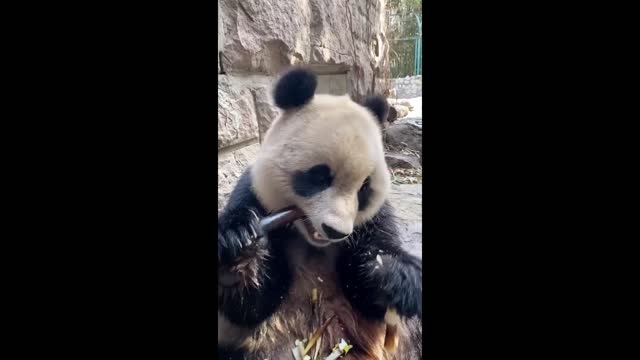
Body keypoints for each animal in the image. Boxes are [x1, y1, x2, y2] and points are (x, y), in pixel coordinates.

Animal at [218, 68, 422, 360]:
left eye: (364, 188)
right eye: (320, 176)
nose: (336, 231)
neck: (311, 240)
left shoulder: (374, 220)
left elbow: (368, 293)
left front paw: (392, 274)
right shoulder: (253, 195)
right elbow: (253, 306)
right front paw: (239, 251)